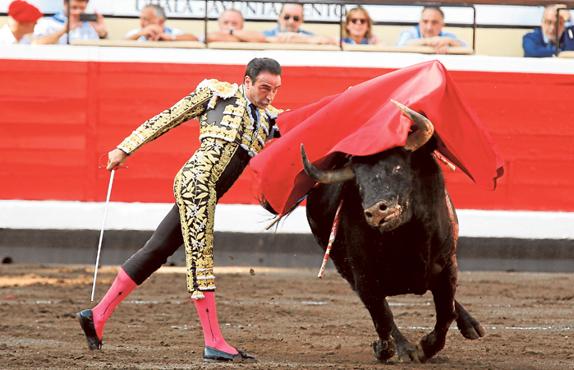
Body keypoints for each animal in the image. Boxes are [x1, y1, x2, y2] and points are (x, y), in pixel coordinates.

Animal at [302, 100, 486, 362]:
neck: (405, 239)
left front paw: (426, 346)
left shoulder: (447, 265)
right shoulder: (363, 278)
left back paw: (471, 326)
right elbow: (382, 315)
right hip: (343, 267)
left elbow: (445, 311)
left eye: (398, 168)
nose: (376, 212)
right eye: (359, 183)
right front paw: (396, 349)